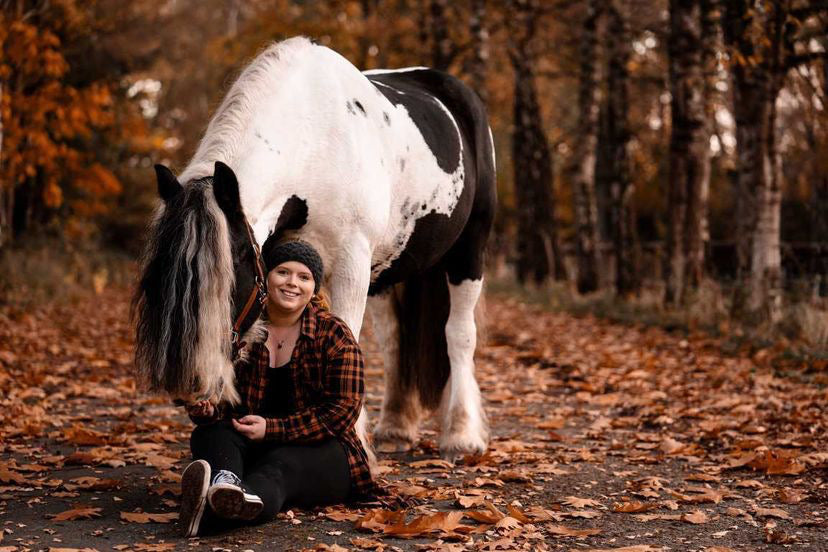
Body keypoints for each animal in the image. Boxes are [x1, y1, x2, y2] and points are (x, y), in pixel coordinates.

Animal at [135, 38, 494, 460]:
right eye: (156, 274)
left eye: (226, 276)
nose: (189, 387)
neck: (317, 141)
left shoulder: (353, 263)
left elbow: (348, 336)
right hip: (388, 272)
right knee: (394, 342)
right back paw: (396, 427)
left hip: (468, 254)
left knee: (459, 334)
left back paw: (461, 434)